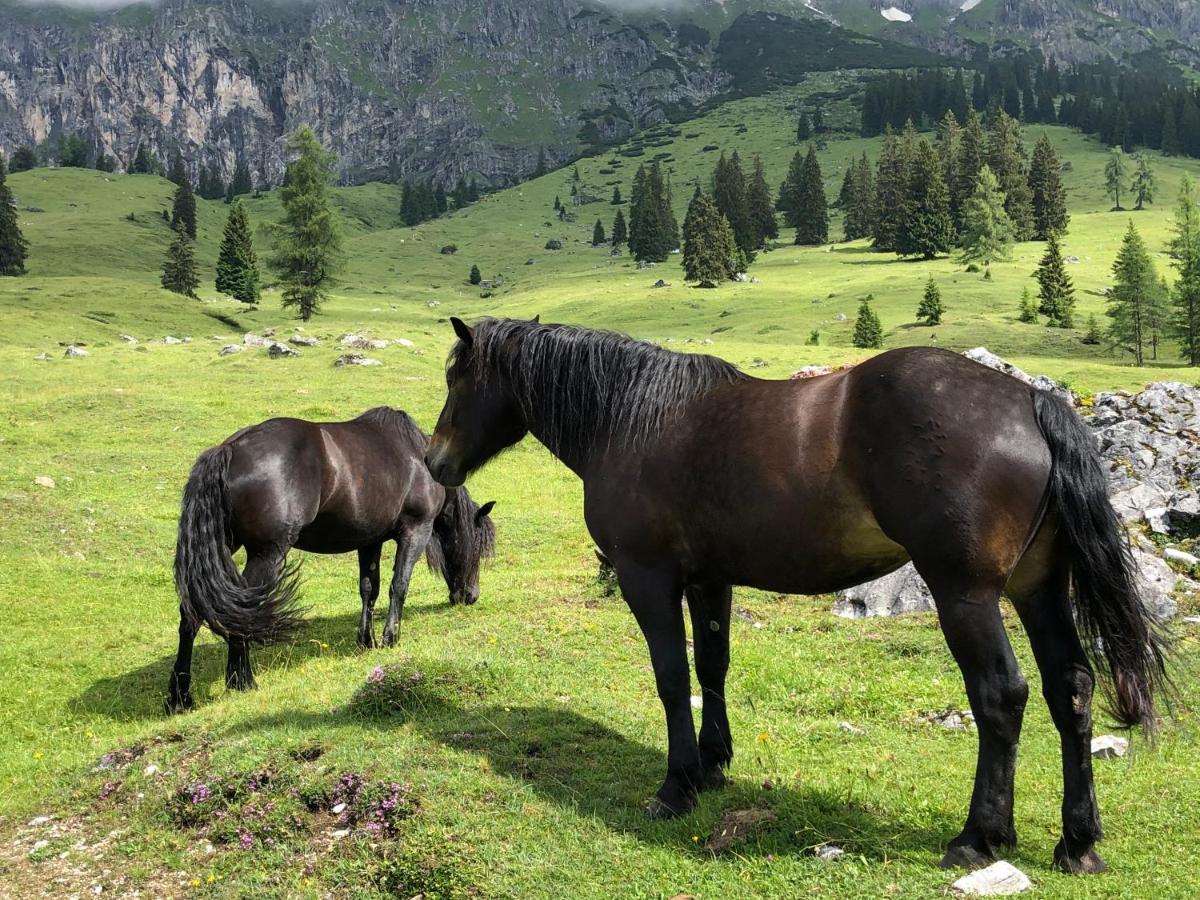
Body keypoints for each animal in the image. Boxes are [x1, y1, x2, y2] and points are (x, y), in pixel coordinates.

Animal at [166, 408, 494, 710]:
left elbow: (369, 589)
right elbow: (398, 585)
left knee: (193, 613)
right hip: (266, 554)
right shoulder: (416, 530)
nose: (470, 595)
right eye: (478, 547)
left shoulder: (370, 540)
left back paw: (180, 698)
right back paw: (242, 681)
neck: (417, 459)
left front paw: (366, 642)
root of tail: (229, 449)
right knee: (242, 609)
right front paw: (389, 639)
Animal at [420, 316, 1161, 873]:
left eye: (458, 376)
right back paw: (1077, 842)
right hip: (1038, 589)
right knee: (1071, 688)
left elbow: (671, 677)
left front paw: (675, 786)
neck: (632, 419)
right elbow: (711, 669)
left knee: (1001, 696)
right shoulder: (709, 579)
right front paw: (713, 767)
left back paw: (979, 837)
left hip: (967, 595)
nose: (434, 460)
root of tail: (1029, 405)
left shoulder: (647, 578)